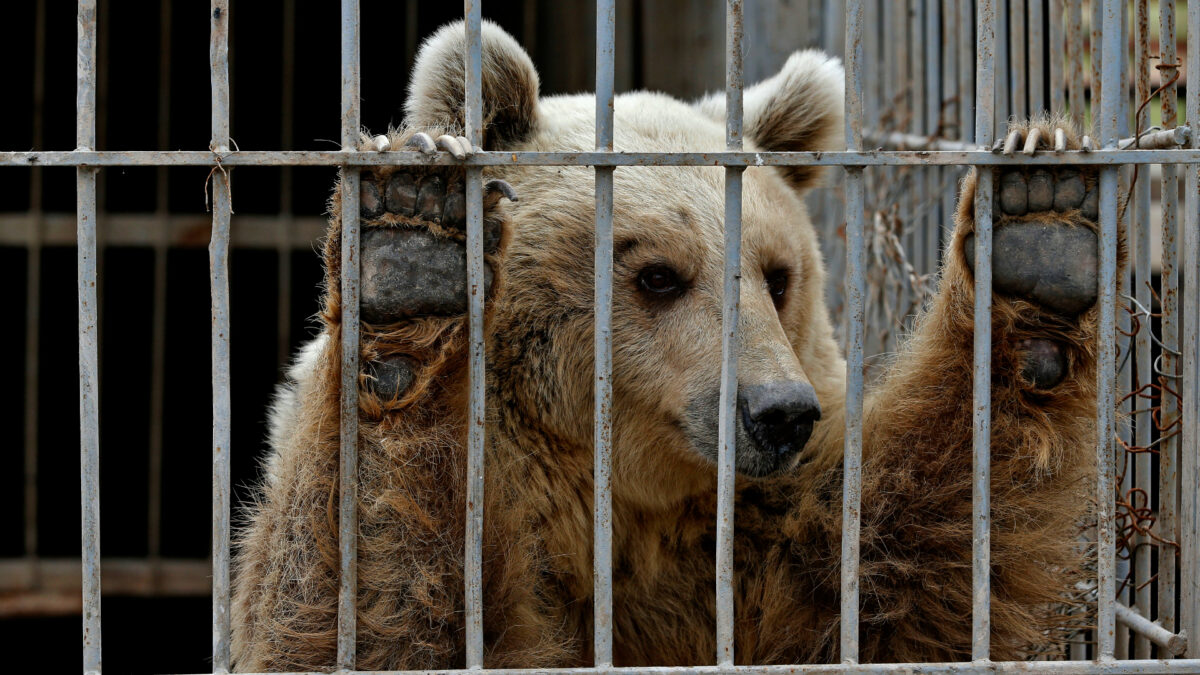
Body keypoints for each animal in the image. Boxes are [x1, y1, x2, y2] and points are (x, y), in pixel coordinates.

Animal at [234, 18, 1113, 667]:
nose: (779, 412)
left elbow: (901, 565)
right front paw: (414, 250)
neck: (622, 504)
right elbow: (379, 592)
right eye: (658, 274)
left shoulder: (756, 545)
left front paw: (1039, 226)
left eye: (777, 275)